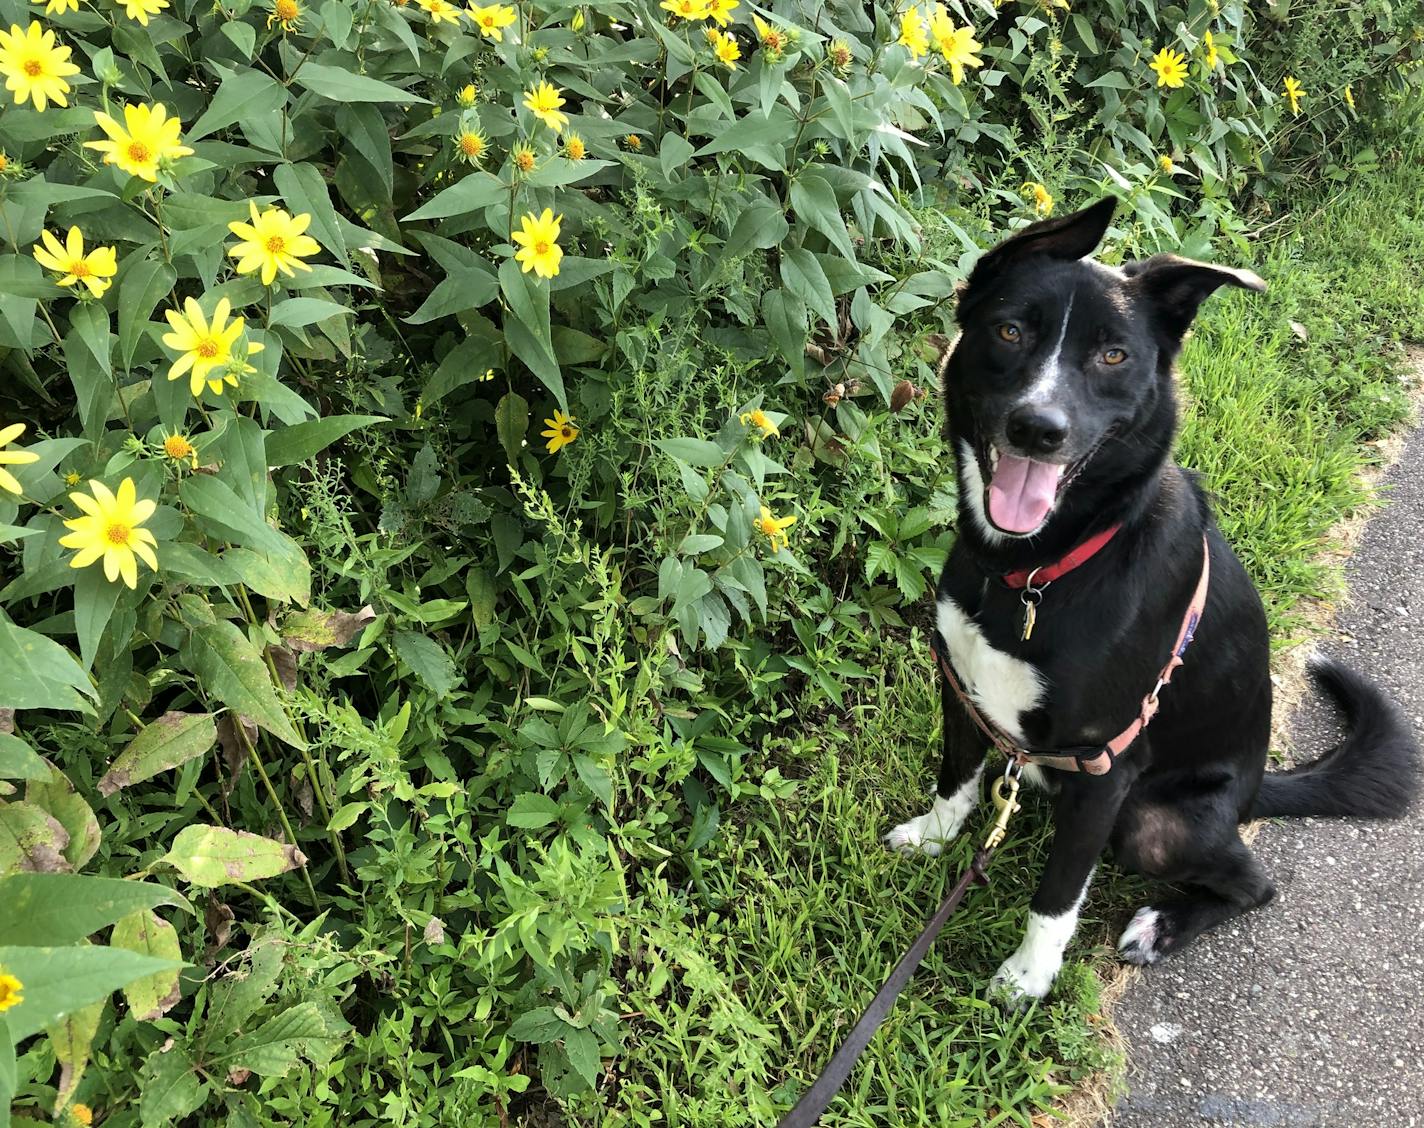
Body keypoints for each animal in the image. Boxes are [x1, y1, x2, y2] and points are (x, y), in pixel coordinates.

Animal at [882, 197, 1418, 1002]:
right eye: (1009, 331)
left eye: (1113, 357)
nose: (1037, 429)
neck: (1039, 571)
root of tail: (1252, 794)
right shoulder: (964, 695)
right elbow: (957, 779)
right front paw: (934, 836)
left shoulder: (1106, 769)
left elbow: (1057, 893)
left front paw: (1026, 980)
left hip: (1156, 824)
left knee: (1256, 884)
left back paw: (1162, 926)